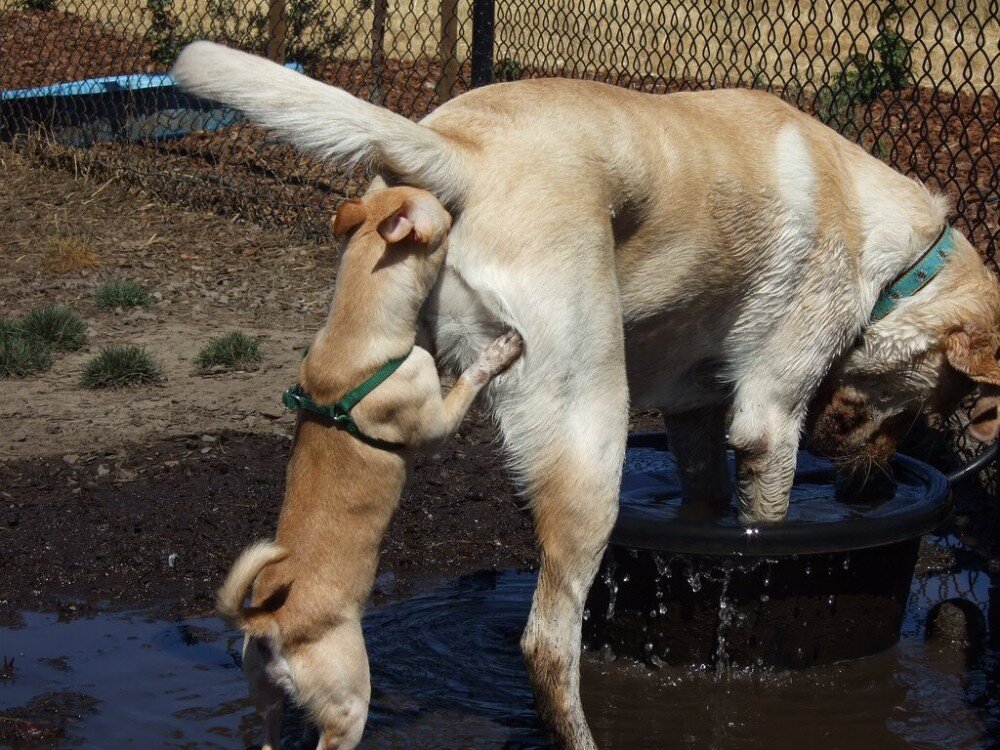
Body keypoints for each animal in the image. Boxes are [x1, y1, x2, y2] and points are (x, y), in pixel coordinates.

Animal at [214, 185, 520, 750]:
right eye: (447, 218)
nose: (458, 202)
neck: (356, 334)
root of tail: (270, 625)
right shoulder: (438, 421)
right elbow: (470, 377)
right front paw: (498, 351)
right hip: (349, 706)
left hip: (266, 700)